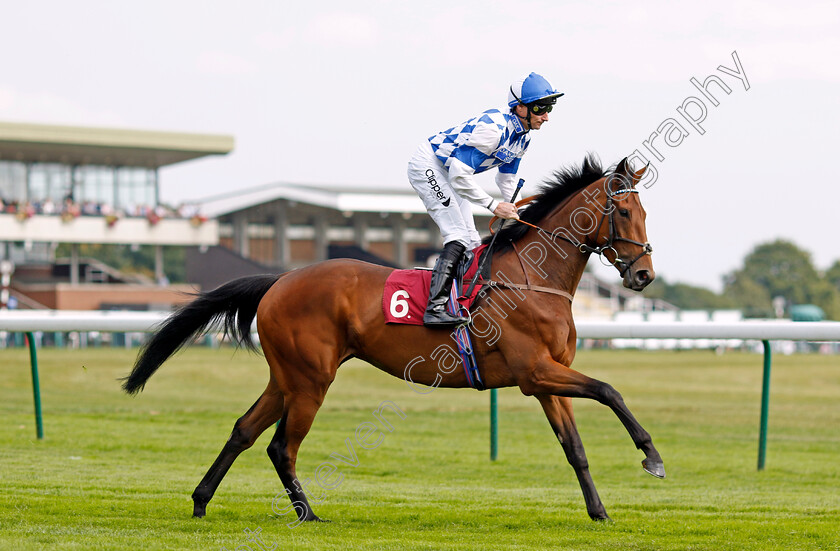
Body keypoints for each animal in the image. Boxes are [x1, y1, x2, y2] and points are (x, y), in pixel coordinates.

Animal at [123, 154, 664, 520]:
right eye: (623, 212)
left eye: (644, 212)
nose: (643, 276)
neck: (531, 278)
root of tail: (280, 279)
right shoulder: (535, 372)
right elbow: (610, 390)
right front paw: (652, 457)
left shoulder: (547, 379)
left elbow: (575, 448)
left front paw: (599, 511)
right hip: (310, 379)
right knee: (282, 446)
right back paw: (307, 514)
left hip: (287, 376)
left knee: (243, 430)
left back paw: (201, 502)